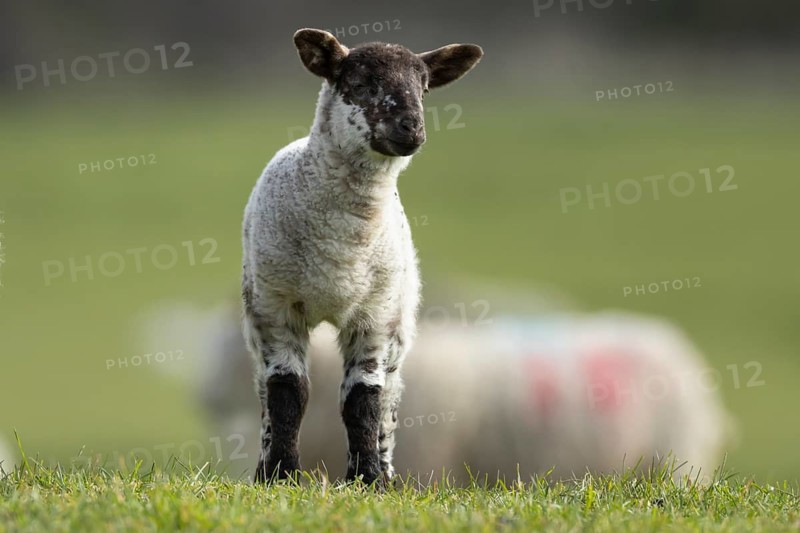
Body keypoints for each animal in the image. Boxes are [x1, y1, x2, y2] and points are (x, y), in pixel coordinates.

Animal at [240, 29, 483, 485]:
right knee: (265, 391)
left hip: (400, 321)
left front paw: (368, 478)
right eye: (361, 84)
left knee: (388, 398)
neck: (341, 245)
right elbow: (288, 392)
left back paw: (385, 470)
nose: (412, 128)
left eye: (424, 87)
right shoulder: (276, 309)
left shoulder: (376, 315)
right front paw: (280, 474)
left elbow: (363, 398)